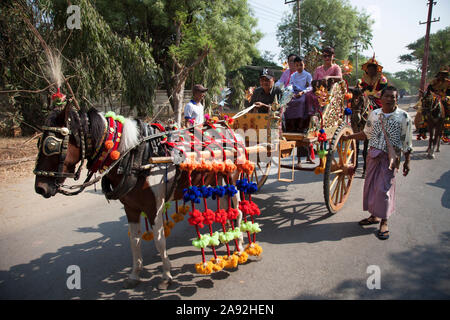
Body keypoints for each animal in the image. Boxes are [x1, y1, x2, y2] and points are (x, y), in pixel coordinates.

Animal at [34, 102, 246, 290]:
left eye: (51, 145)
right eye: (39, 143)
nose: (40, 188)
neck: (135, 156)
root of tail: (229, 129)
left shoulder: (154, 208)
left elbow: (159, 241)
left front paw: (166, 276)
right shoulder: (131, 208)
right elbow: (134, 241)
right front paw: (135, 274)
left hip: (232, 179)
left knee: (237, 210)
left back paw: (239, 246)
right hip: (217, 180)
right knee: (226, 206)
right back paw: (228, 232)